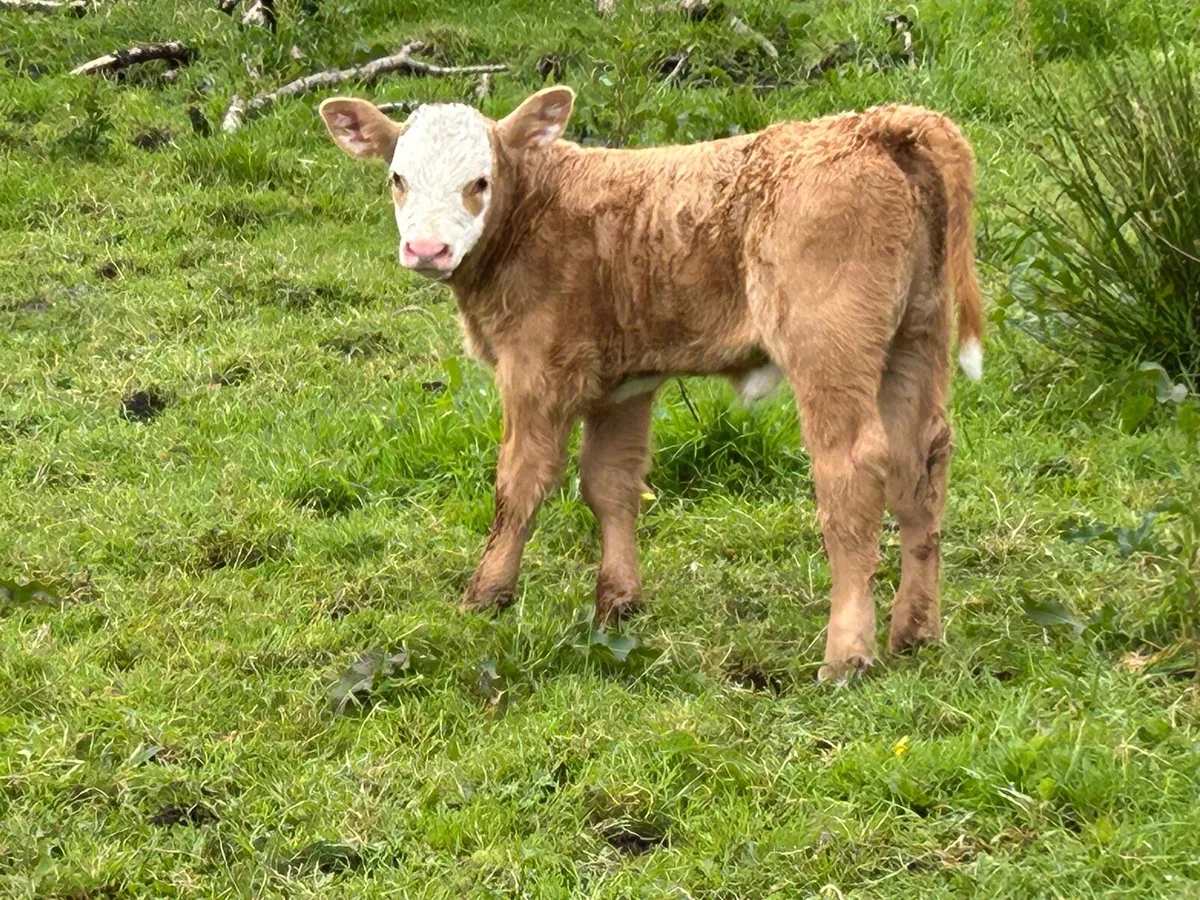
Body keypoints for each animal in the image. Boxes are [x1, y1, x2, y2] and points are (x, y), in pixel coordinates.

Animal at [318, 86, 984, 683]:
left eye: (478, 182)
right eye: (397, 178)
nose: (426, 249)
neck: (537, 211)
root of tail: (877, 124)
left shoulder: (535, 370)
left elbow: (520, 482)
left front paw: (487, 593)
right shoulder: (625, 382)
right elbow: (610, 483)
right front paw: (618, 604)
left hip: (830, 348)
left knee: (851, 469)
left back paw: (847, 653)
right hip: (917, 336)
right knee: (921, 461)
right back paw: (916, 631)